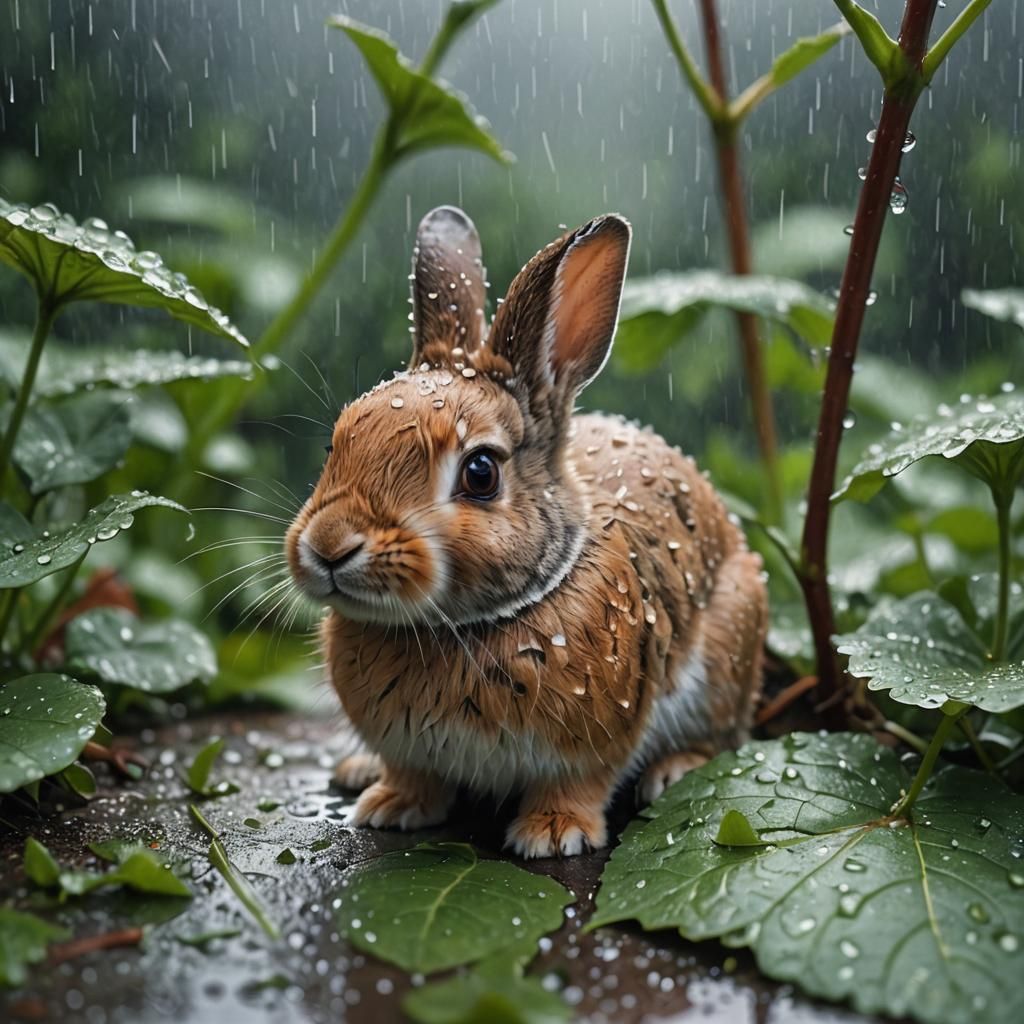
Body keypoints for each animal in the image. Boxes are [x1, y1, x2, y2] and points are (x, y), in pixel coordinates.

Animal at [286, 206, 768, 858]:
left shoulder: (596, 743)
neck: (465, 625)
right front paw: (391, 806)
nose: (330, 547)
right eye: (335, 447)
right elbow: (415, 777)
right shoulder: (411, 751)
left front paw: (553, 833)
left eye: (480, 473)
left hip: (727, 656)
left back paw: (674, 772)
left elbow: (580, 783)